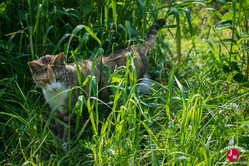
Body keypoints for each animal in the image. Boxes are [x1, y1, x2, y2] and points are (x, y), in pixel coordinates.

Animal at [27, 19, 165, 147]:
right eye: (45, 80)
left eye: (59, 77)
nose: (55, 88)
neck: (56, 96)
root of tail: (135, 47)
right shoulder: (56, 111)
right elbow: (59, 124)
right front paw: (58, 138)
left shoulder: (72, 109)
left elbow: (69, 127)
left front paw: (66, 143)